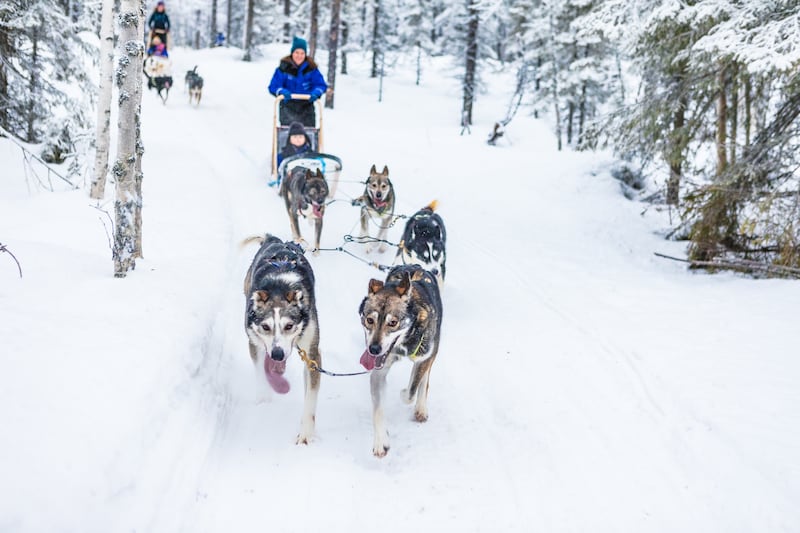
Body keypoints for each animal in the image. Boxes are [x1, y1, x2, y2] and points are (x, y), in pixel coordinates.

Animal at [242, 235, 320, 442]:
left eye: (289, 326)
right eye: (265, 327)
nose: (277, 354)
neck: (279, 287)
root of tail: (274, 238)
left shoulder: (313, 354)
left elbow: (310, 397)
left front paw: (306, 434)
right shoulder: (254, 343)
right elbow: (261, 371)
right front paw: (263, 398)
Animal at [358, 264, 444, 456]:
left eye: (393, 322)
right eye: (369, 320)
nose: (374, 349)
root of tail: (415, 266)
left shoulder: (424, 357)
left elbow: (411, 391)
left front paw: (405, 393)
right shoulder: (379, 372)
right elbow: (378, 410)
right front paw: (381, 441)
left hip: (432, 350)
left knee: (424, 379)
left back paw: (421, 407)